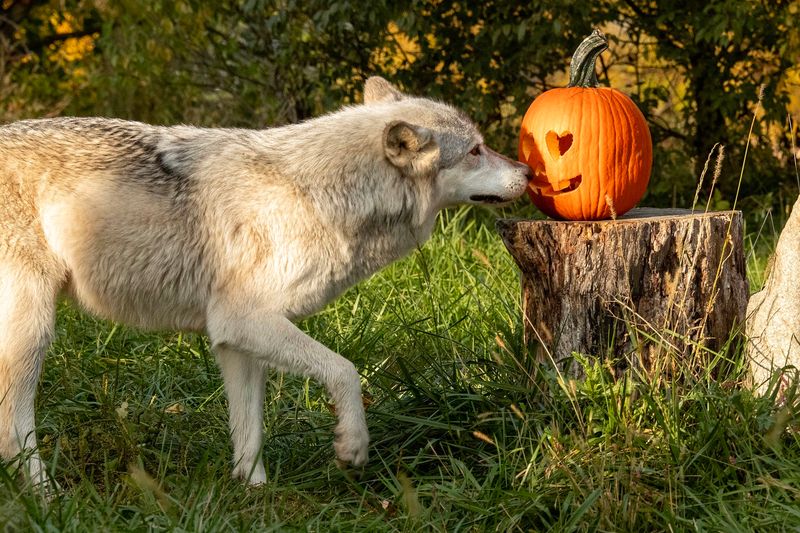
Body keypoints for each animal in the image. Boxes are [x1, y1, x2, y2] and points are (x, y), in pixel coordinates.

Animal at [0, 76, 531, 487]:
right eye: (476, 150)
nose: (528, 170)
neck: (317, 193)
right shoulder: (245, 320)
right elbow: (346, 371)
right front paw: (352, 446)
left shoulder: (234, 339)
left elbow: (250, 431)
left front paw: (254, 493)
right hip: (33, 334)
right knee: (13, 431)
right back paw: (47, 497)